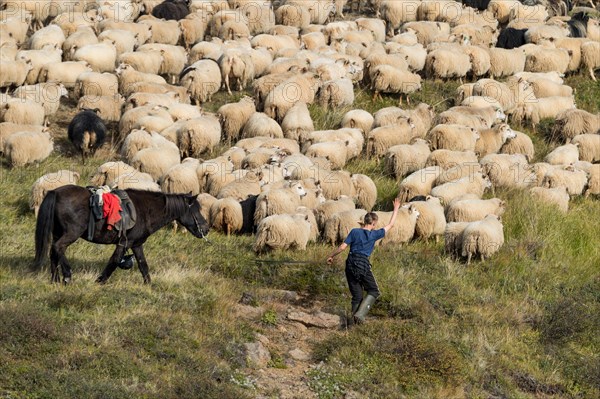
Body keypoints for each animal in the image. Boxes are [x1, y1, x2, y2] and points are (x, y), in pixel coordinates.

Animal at [34, 187, 211, 284]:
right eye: (196, 209)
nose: (206, 228)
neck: (145, 211)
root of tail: (55, 192)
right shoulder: (124, 243)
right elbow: (113, 262)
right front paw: (99, 281)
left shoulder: (136, 244)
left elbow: (143, 265)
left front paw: (149, 285)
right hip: (71, 233)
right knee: (58, 248)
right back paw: (67, 276)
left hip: (58, 233)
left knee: (53, 252)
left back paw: (55, 280)